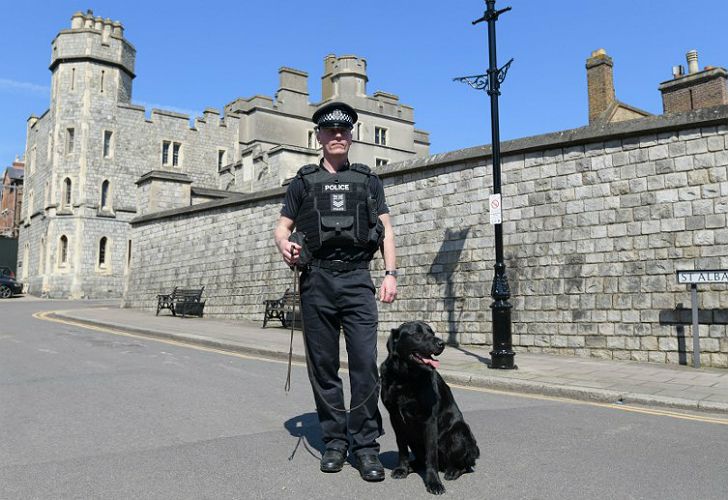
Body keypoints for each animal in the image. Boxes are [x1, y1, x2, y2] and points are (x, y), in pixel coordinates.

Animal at [378, 322, 480, 494]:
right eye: (417, 334)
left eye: (432, 332)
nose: (442, 343)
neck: (405, 378)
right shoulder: (395, 418)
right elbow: (402, 448)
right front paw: (402, 468)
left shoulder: (429, 420)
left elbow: (431, 456)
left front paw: (433, 482)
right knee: (421, 459)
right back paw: (411, 466)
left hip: (459, 432)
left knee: (466, 465)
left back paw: (452, 471)